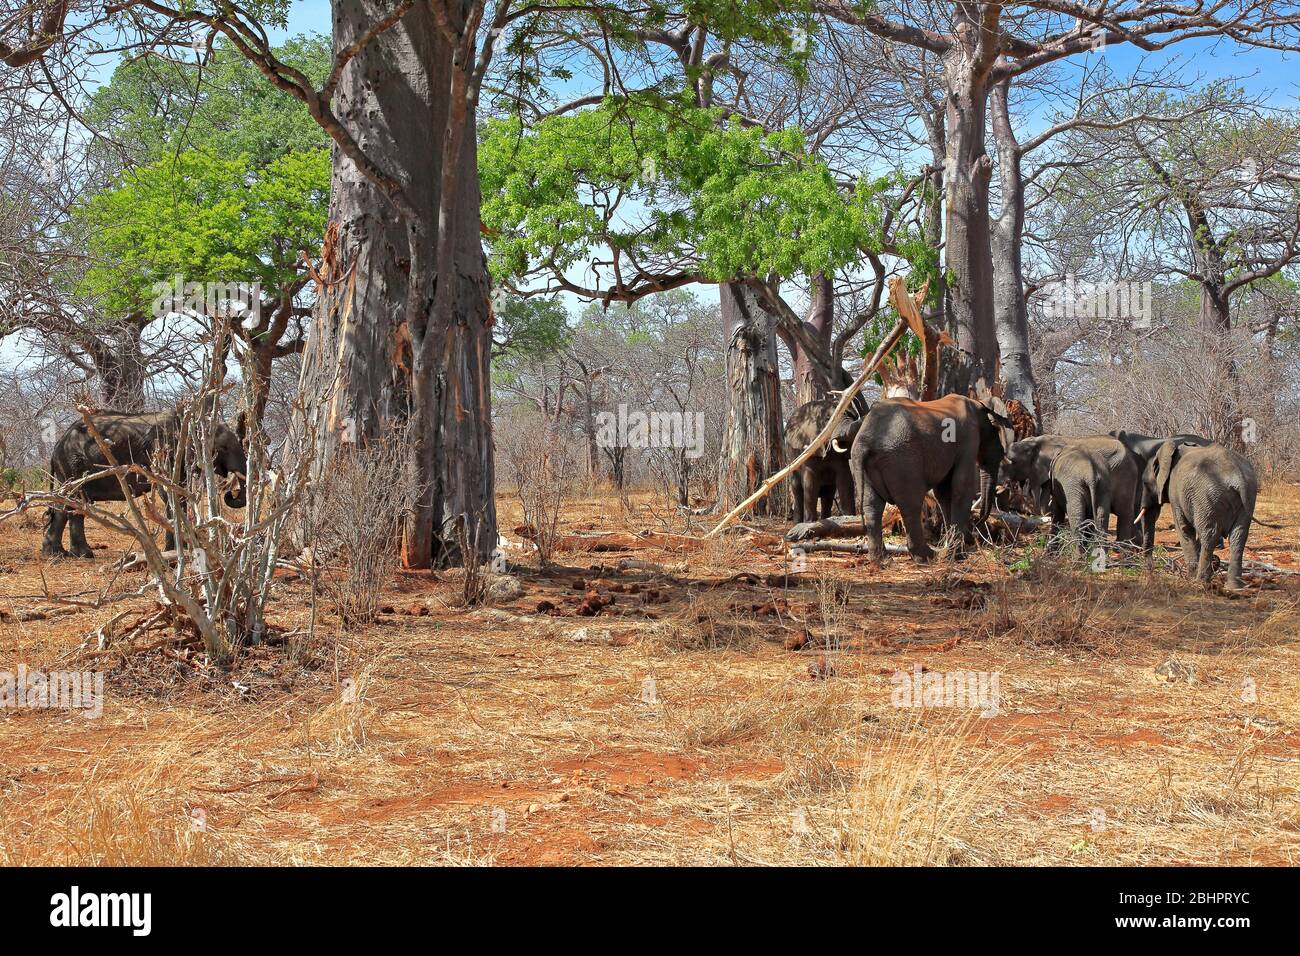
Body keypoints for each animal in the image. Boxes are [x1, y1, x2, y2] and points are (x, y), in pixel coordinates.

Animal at [41, 411, 246, 561]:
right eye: (224, 448)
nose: (231, 493)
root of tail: (56, 446)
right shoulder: (164, 451)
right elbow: (169, 493)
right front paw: (175, 550)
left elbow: (178, 491)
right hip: (73, 466)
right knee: (73, 503)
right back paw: (76, 555)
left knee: (67, 504)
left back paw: (62, 555)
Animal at [780, 400, 863, 528]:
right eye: (828, 419)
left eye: (853, 416)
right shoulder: (808, 449)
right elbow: (810, 484)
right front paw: (809, 523)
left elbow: (845, 480)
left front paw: (849, 519)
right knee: (797, 491)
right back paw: (797, 524)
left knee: (828, 495)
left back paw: (826, 519)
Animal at [842, 395, 1013, 561]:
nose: (977, 524)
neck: (979, 403)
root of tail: (864, 441)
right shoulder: (969, 438)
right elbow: (962, 486)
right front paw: (958, 556)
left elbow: (944, 493)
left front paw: (953, 554)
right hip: (902, 461)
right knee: (911, 504)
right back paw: (927, 556)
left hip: (866, 463)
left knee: (872, 506)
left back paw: (881, 560)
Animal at [1149, 442, 1258, 590]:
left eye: (1155, 467)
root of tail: (1238, 476)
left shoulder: (1175, 492)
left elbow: (1184, 529)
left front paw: (1190, 577)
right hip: (1248, 496)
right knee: (1238, 536)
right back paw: (1234, 586)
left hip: (1207, 496)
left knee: (1209, 534)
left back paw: (1200, 581)